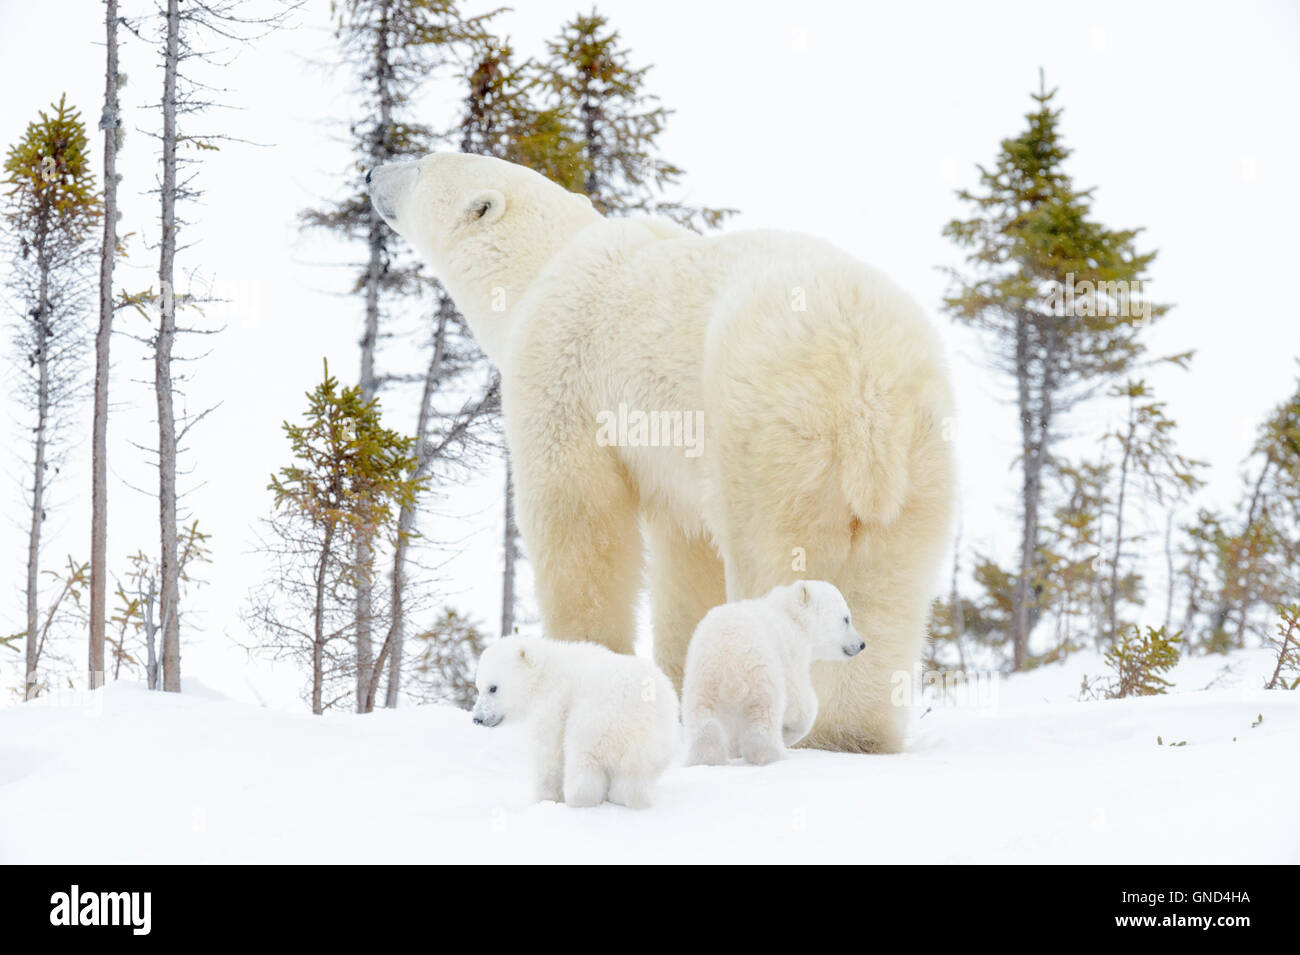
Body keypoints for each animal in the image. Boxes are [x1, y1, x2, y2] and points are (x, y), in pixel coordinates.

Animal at [475, 639, 686, 810]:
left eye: (493, 688)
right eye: (478, 686)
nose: (477, 718)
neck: (546, 672)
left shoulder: (555, 704)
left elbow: (549, 755)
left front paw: (545, 799)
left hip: (594, 723)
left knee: (583, 764)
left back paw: (578, 800)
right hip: (659, 742)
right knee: (636, 777)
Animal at [681, 579, 863, 764]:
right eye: (846, 619)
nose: (861, 644)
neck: (790, 615)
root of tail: (730, 664)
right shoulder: (791, 651)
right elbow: (799, 700)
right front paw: (789, 731)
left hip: (701, 681)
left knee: (704, 723)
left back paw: (706, 760)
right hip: (761, 675)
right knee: (764, 719)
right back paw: (774, 756)